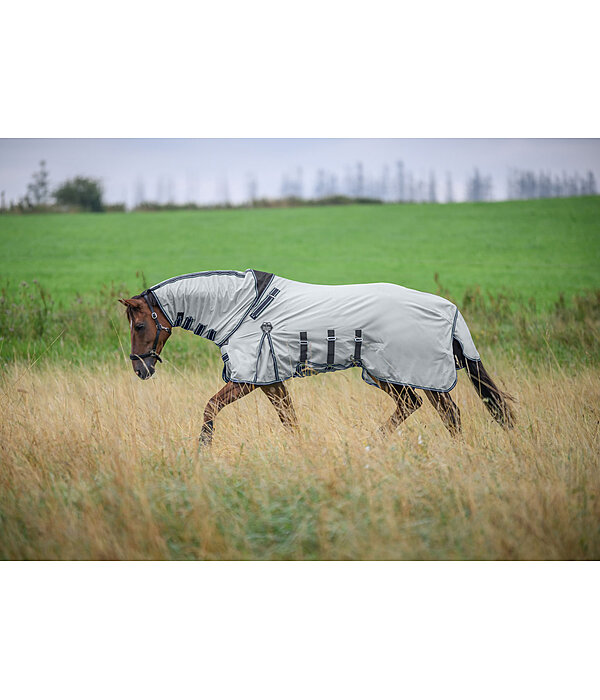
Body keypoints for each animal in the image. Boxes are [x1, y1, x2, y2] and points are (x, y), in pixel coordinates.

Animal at [119, 270, 512, 446]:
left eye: (139, 324)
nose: (140, 368)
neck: (240, 309)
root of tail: (447, 308)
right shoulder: (269, 381)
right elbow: (289, 419)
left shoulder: (248, 380)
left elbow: (210, 407)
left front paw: (203, 451)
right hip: (387, 373)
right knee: (414, 406)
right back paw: (372, 444)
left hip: (413, 372)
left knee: (447, 413)